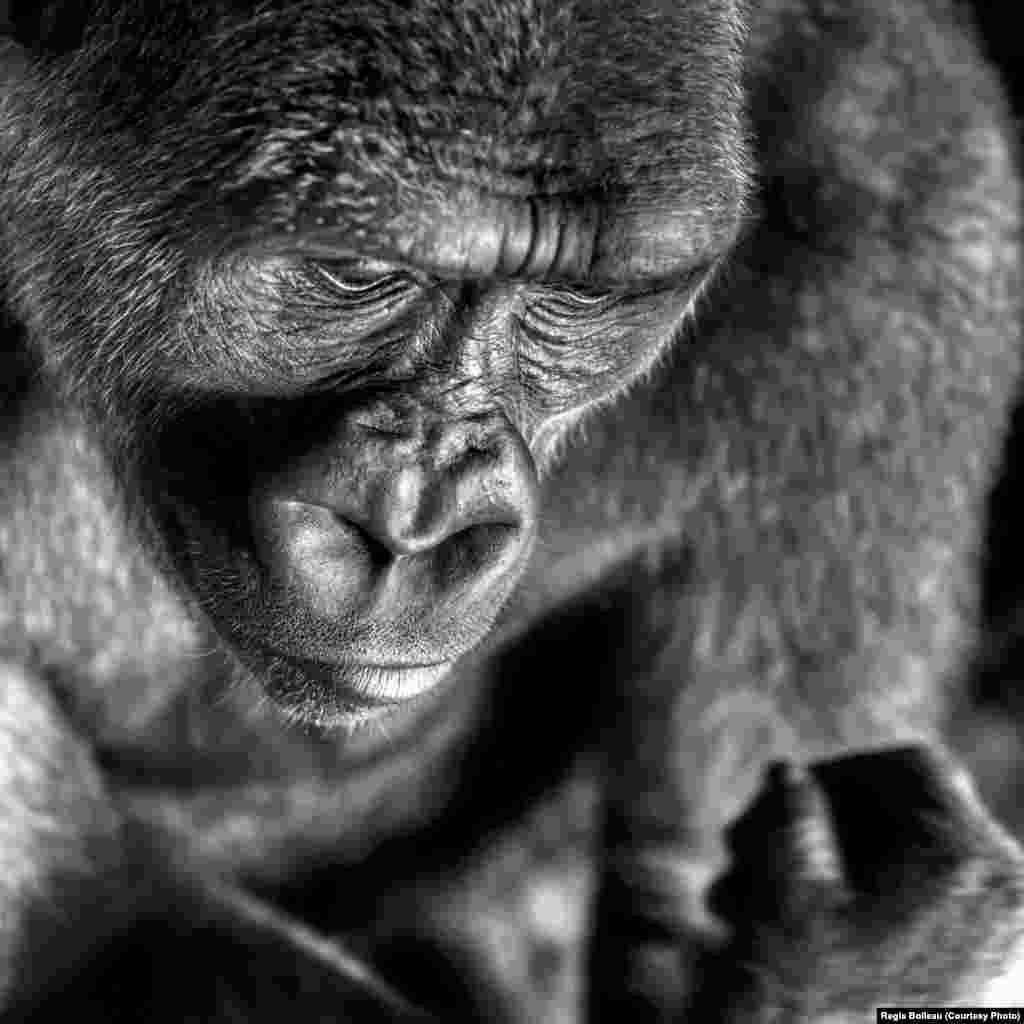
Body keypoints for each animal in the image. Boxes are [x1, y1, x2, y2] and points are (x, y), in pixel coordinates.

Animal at [0, 0, 1019, 1015]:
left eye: (578, 297)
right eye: (352, 268)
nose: (420, 521)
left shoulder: (902, 207)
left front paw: (853, 955)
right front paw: (842, 962)